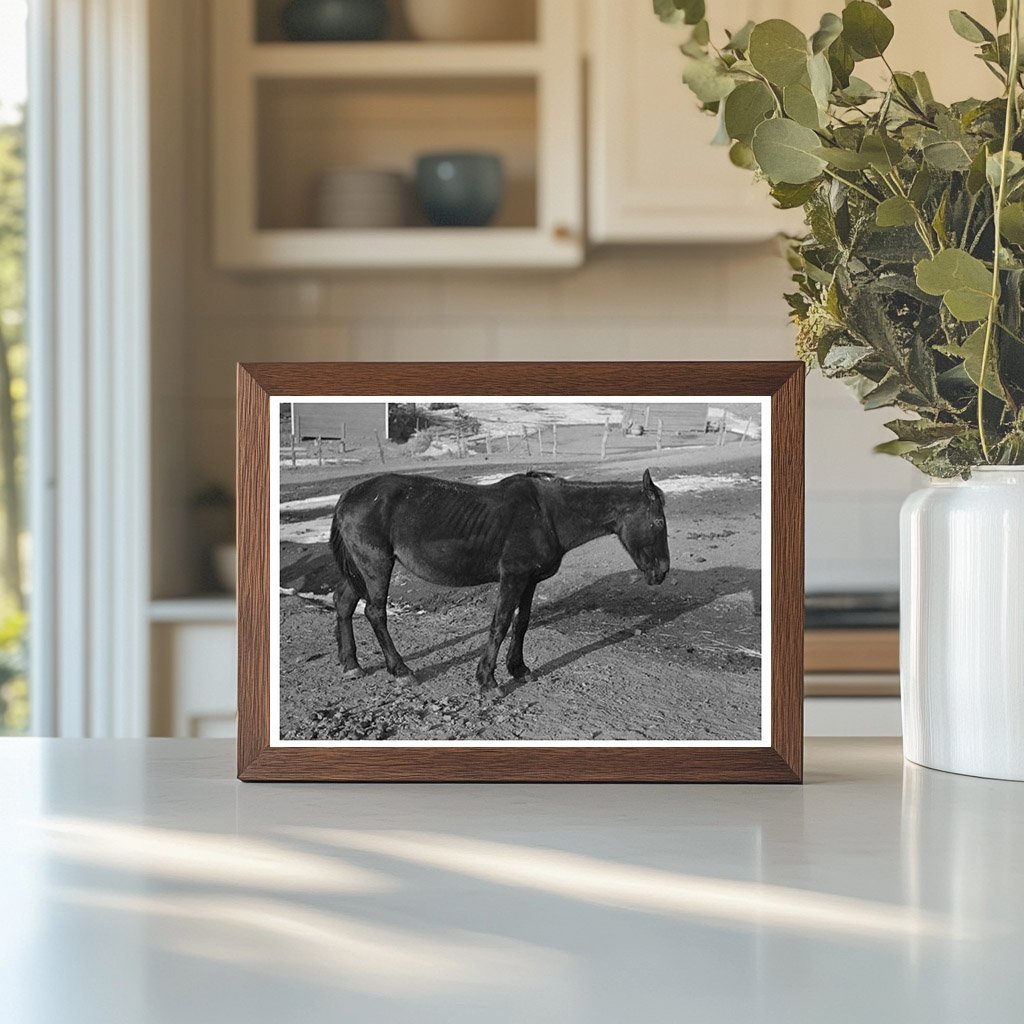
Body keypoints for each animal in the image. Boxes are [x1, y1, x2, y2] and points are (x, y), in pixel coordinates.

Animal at [323, 468, 667, 692]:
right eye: (659, 522)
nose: (662, 571)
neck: (548, 514)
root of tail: (347, 496)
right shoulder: (513, 577)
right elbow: (500, 623)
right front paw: (488, 681)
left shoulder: (529, 580)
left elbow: (521, 623)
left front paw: (519, 669)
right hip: (376, 564)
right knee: (374, 612)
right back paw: (401, 670)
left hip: (358, 568)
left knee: (344, 603)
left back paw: (351, 664)